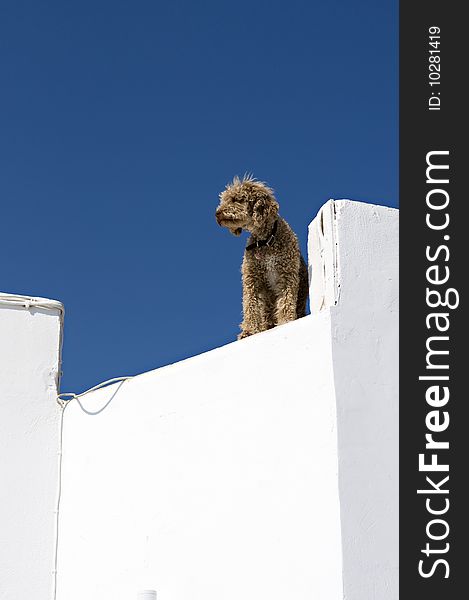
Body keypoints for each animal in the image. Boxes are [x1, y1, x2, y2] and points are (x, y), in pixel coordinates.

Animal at [215, 176, 308, 340]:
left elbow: (286, 302)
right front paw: (251, 330)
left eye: (236, 199)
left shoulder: (287, 275)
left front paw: (285, 322)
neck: (265, 241)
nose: (217, 213)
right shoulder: (252, 280)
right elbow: (251, 306)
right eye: (224, 199)